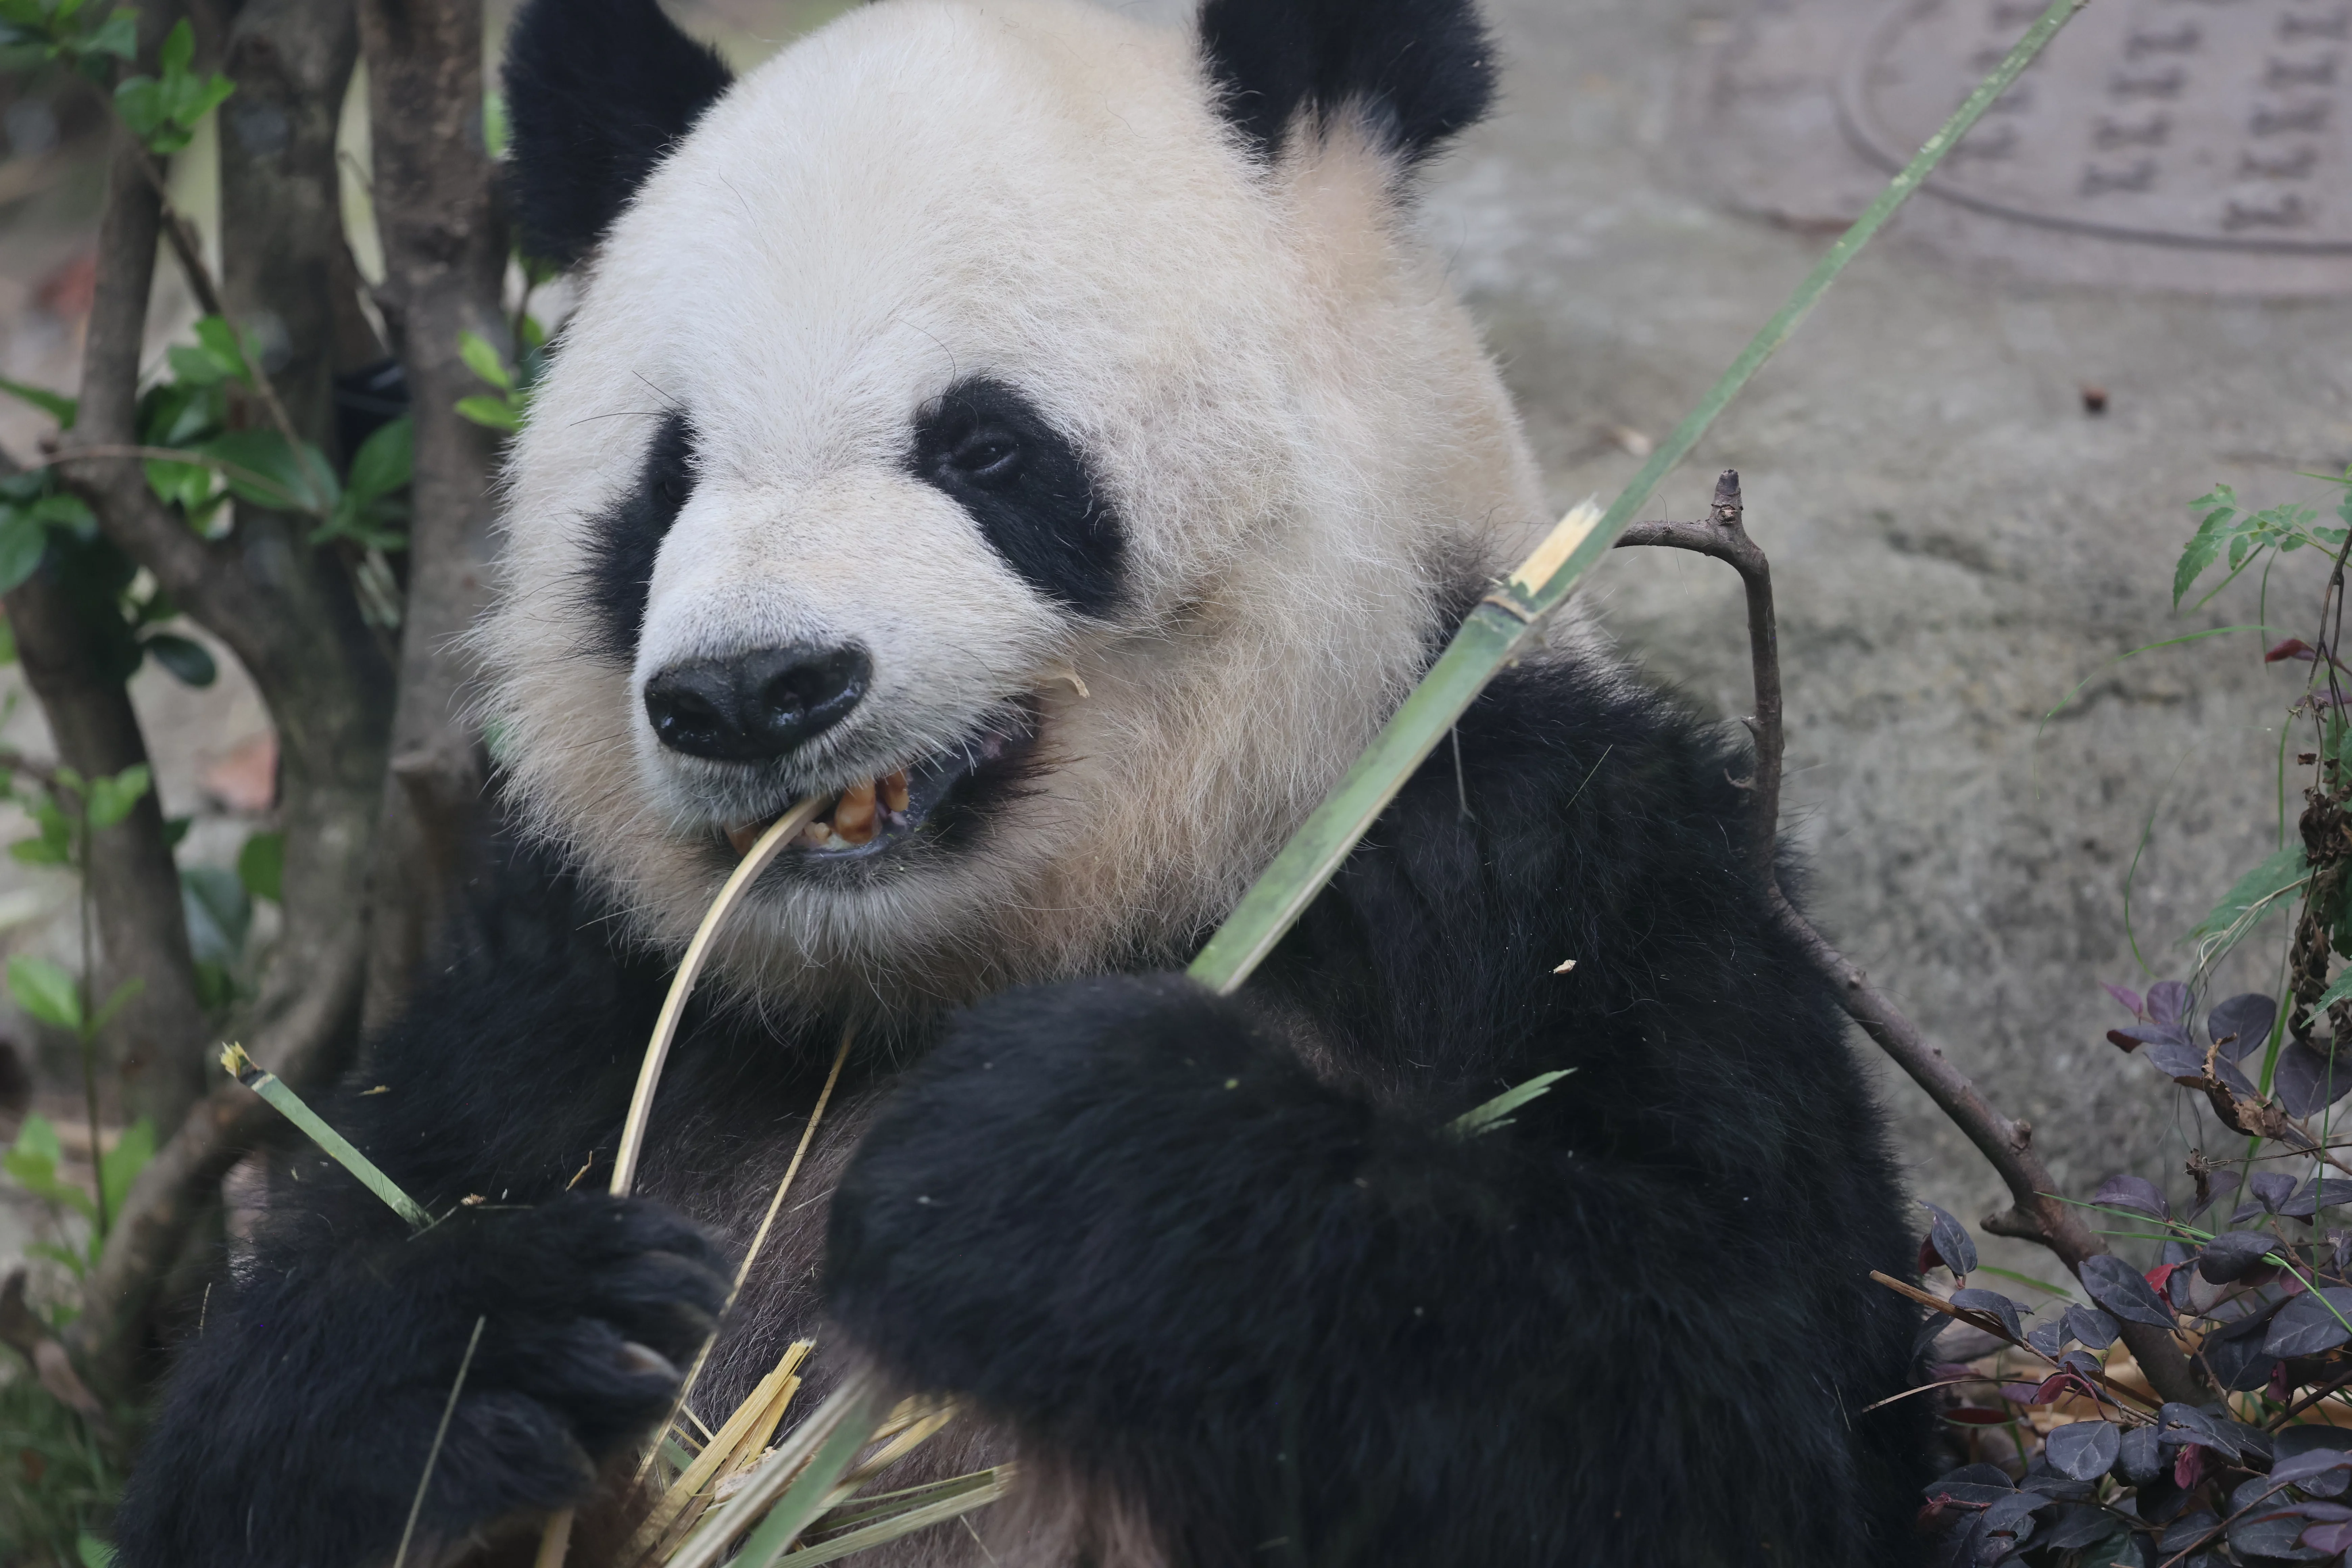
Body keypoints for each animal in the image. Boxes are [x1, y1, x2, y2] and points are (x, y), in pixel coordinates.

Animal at [115, 0, 1932, 1563]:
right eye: (665, 485)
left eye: (985, 449)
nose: (753, 691)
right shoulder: (551, 993)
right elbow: (235, 1423)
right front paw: (500, 1338)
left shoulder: (1551, 853)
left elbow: (1743, 1395)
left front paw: (1042, 1150)